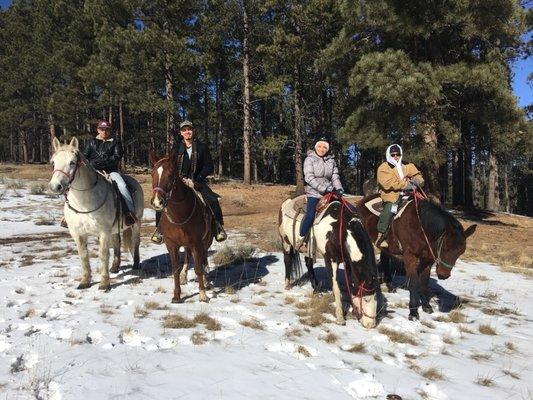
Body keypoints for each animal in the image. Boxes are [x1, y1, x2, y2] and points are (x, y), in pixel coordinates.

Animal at [47, 138, 142, 290]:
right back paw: (114, 267)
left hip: (137, 222)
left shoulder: (103, 231)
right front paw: (85, 281)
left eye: (72, 162)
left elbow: (103, 255)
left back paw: (136, 264)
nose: (55, 186)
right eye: (53, 162)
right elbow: (84, 256)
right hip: (114, 229)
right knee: (117, 242)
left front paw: (104, 284)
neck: (84, 202)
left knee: (135, 242)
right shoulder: (78, 233)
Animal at [148, 150, 214, 304]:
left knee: (203, 260)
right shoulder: (172, 245)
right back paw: (184, 277)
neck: (180, 217)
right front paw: (177, 296)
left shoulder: (197, 243)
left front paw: (202, 294)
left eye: (170, 175)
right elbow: (175, 269)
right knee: (188, 258)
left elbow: (198, 268)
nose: (157, 202)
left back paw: (206, 281)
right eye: (152, 174)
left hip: (205, 242)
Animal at [278, 194, 378, 328]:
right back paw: (288, 285)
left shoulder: (347, 262)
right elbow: (336, 287)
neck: (339, 230)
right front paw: (340, 317)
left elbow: (349, 284)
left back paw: (316, 289)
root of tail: (286, 202)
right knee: (287, 260)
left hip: (309, 250)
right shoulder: (331, 260)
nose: (370, 325)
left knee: (309, 264)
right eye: (366, 299)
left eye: (376, 297)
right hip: (286, 242)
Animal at [356, 192, 476, 320]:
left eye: (461, 252)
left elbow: (424, 281)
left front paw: (427, 306)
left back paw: (391, 286)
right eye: (445, 247)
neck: (421, 226)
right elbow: (413, 282)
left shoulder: (428, 259)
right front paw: (413, 312)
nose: (443, 275)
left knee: (384, 259)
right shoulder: (410, 256)